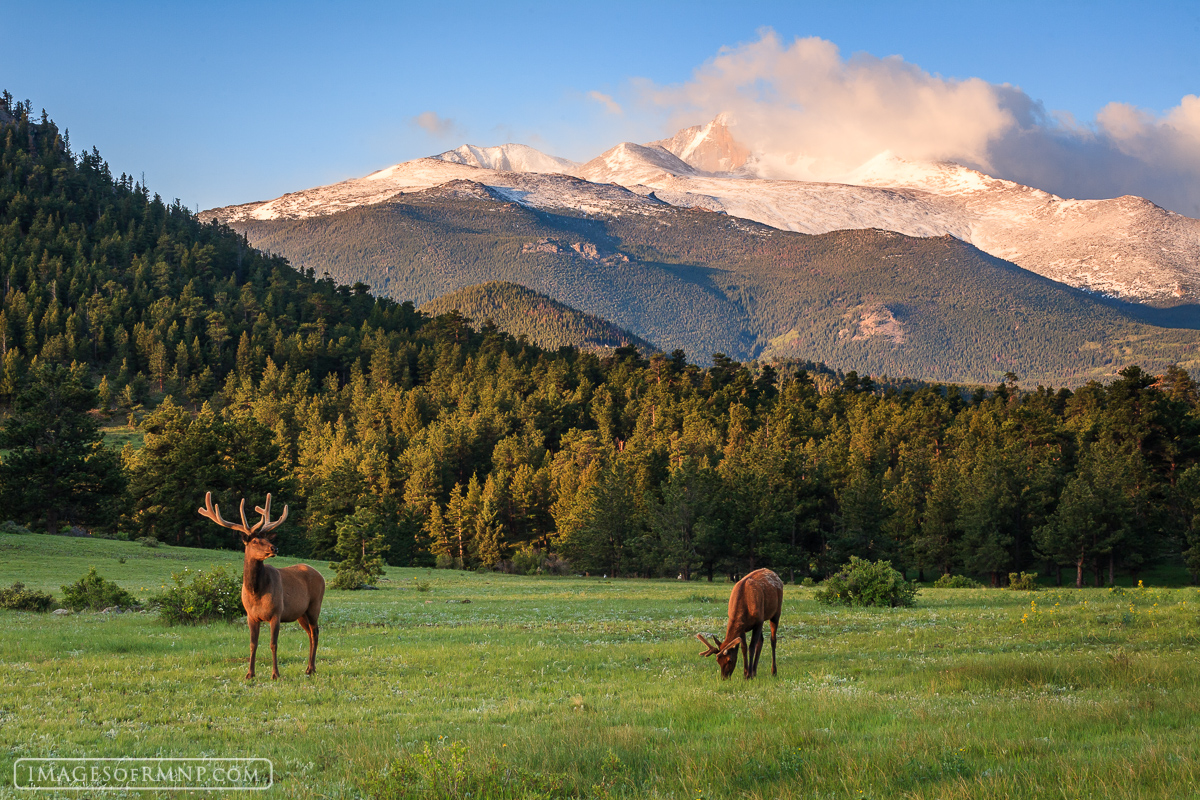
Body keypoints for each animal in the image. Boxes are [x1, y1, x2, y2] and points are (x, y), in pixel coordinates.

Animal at [199, 491, 326, 681]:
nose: (275, 548)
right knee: (310, 633)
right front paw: (250, 673)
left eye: (265, 538)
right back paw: (309, 668)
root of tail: (320, 575)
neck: (256, 592)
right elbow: (253, 644)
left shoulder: (276, 613)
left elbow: (273, 644)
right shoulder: (251, 616)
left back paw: (311, 668)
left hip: (314, 605)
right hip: (300, 613)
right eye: (254, 541)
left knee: (316, 632)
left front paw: (275, 674)